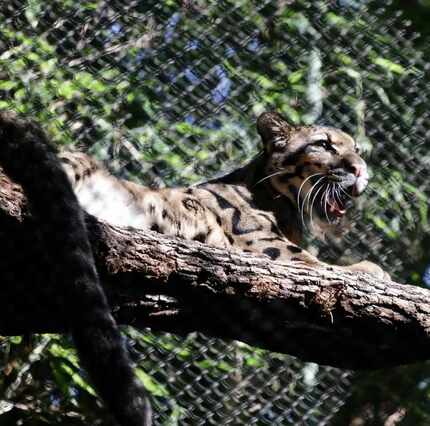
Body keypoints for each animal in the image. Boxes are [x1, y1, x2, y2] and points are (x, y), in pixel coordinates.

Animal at [59, 112, 386, 280]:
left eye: (357, 149)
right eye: (323, 144)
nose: (360, 169)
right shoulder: (269, 247)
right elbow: (319, 264)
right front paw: (370, 268)